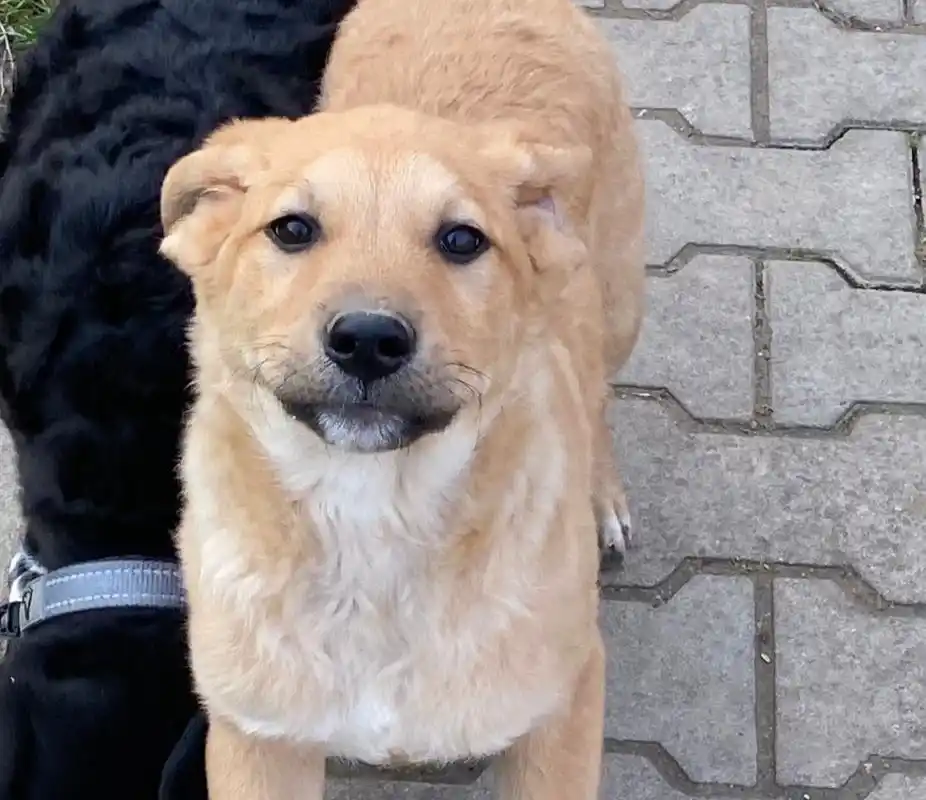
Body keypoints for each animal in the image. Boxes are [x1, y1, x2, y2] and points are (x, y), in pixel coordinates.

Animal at [158, 0, 645, 796]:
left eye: (462, 239)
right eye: (292, 229)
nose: (367, 339)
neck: (373, 520)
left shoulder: (562, 708)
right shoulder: (257, 738)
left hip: (618, 296)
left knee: (598, 391)